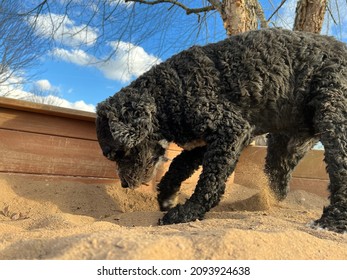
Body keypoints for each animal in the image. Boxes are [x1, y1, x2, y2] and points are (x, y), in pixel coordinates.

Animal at [96, 29, 347, 234]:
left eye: (117, 153)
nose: (124, 185)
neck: (168, 92)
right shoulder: (202, 143)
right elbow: (178, 165)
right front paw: (167, 197)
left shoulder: (230, 130)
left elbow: (209, 182)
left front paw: (185, 213)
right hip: (284, 144)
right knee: (279, 179)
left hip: (334, 117)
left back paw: (331, 222)